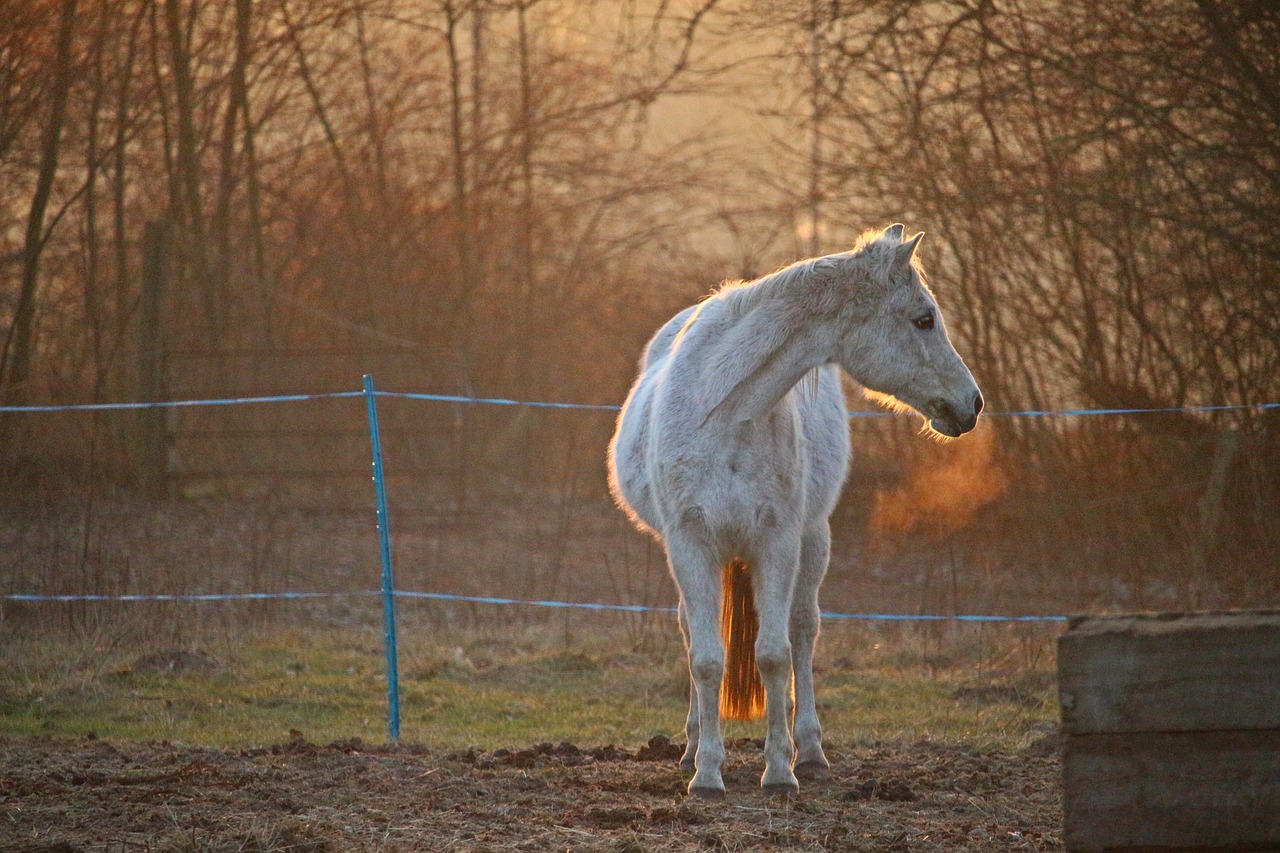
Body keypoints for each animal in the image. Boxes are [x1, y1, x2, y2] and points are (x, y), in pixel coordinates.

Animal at [606, 222, 977, 794]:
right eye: (923, 319)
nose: (972, 404)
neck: (726, 413)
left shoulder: (776, 542)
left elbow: (774, 655)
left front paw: (780, 771)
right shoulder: (690, 544)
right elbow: (706, 659)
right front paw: (706, 773)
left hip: (813, 540)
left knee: (803, 632)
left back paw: (811, 753)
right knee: (692, 631)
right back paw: (690, 748)